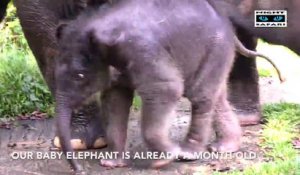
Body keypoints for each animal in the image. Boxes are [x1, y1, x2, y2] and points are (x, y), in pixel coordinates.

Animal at [54, 0, 239, 173]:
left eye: (80, 76)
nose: (79, 169)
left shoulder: (142, 50)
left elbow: (167, 88)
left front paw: (163, 161)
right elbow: (115, 101)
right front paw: (110, 164)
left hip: (215, 49)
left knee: (200, 97)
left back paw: (187, 154)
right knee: (216, 96)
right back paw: (224, 147)